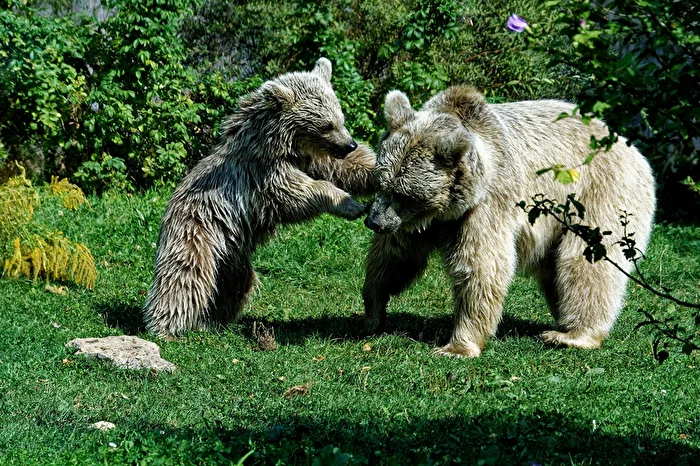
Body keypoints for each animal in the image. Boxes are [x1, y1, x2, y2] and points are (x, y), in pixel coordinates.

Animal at [144, 58, 376, 338]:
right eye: (326, 125)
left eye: (341, 118)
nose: (349, 144)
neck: (281, 146)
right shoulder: (263, 176)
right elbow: (299, 193)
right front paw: (351, 204)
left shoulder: (314, 159)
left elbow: (348, 169)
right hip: (196, 231)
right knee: (184, 275)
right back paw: (165, 327)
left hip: (232, 255)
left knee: (234, 284)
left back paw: (212, 320)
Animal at [362, 86, 656, 357]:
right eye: (381, 182)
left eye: (404, 194)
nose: (373, 222)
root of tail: (631, 147)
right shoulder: (421, 223)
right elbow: (395, 256)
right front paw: (373, 311)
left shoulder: (487, 206)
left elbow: (480, 268)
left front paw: (457, 346)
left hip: (600, 191)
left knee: (587, 260)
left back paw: (573, 335)